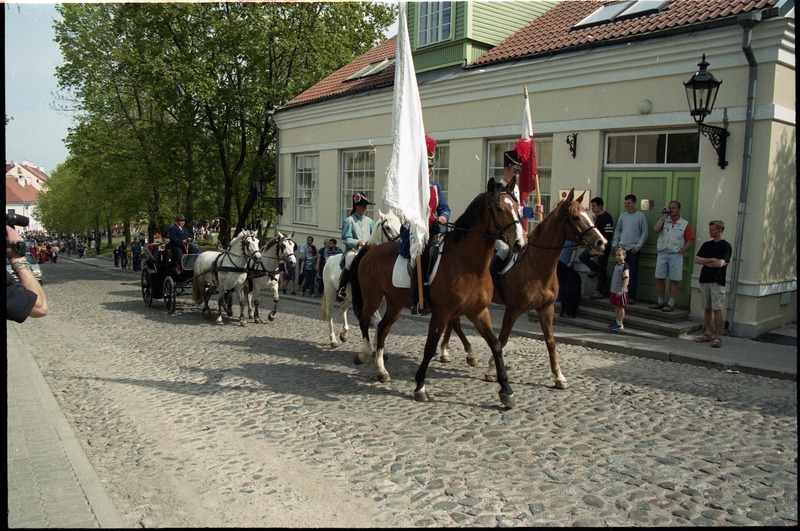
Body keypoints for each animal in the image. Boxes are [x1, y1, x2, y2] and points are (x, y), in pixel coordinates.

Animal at [318, 210, 404, 352]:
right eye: (387, 227)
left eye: (401, 225)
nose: (401, 245)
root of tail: (330, 259)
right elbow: (377, 322)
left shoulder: (383, 304)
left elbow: (380, 323)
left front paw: (376, 346)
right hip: (330, 293)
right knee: (330, 314)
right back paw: (333, 340)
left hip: (350, 297)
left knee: (343, 307)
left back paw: (344, 334)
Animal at [348, 178, 524, 408]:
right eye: (499, 208)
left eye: (517, 207)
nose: (520, 243)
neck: (468, 264)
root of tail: (371, 249)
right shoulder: (442, 313)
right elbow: (430, 347)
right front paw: (420, 387)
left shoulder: (478, 311)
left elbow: (495, 344)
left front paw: (506, 390)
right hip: (372, 297)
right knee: (364, 319)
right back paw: (364, 354)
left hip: (395, 303)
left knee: (383, 327)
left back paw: (382, 370)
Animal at [440, 189, 604, 388]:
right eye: (576, 217)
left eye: (589, 215)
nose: (601, 242)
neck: (535, 264)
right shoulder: (513, 308)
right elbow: (502, 338)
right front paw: (492, 370)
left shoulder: (546, 308)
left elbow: (550, 341)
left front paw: (559, 376)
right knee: (454, 321)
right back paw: (453, 352)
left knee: (453, 321)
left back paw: (453, 352)